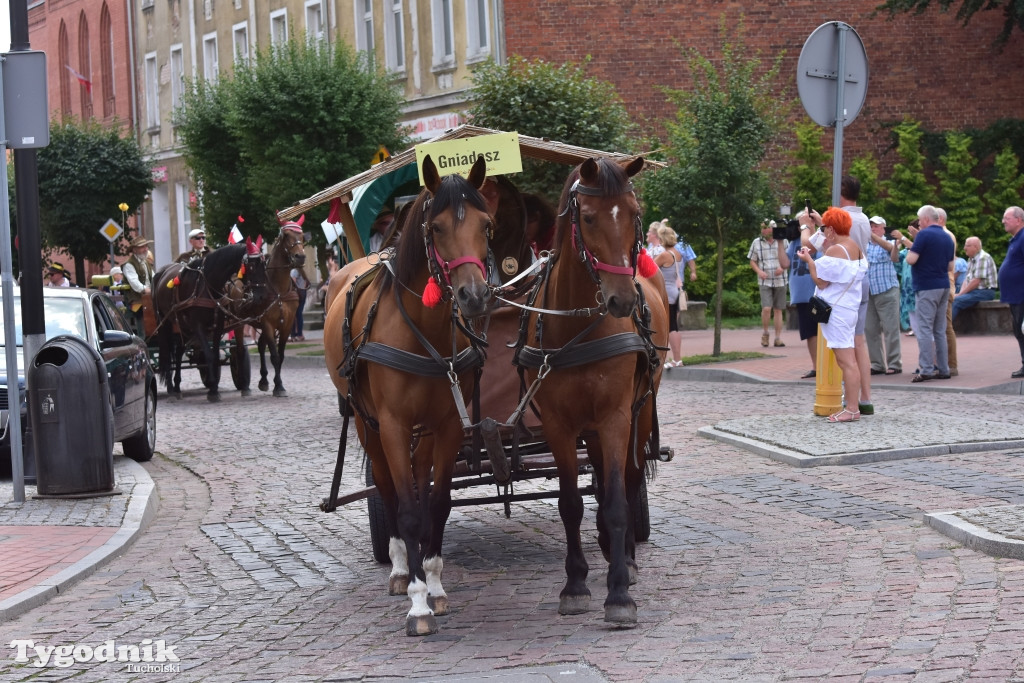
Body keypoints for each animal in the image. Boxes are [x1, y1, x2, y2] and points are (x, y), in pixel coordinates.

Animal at [253, 223, 305, 395]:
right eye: (286, 235)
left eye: (302, 235)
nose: (300, 257)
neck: (279, 291)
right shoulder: (268, 323)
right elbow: (274, 356)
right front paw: (279, 386)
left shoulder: (287, 325)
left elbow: (280, 356)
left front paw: (277, 383)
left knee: (260, 345)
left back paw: (263, 379)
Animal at [323, 154, 491, 634]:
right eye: (436, 228)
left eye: (487, 225)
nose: (474, 296)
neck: (423, 333)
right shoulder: (393, 425)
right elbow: (409, 511)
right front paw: (417, 601)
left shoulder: (447, 426)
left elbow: (436, 503)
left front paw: (434, 585)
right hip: (367, 424)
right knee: (388, 488)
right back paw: (400, 568)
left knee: (416, 481)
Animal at [516, 157, 667, 626]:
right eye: (587, 218)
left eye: (635, 214)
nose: (621, 300)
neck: (576, 326)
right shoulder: (559, 426)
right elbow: (570, 504)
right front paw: (575, 584)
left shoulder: (616, 417)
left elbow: (618, 500)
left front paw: (619, 592)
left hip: (639, 412)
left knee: (627, 480)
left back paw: (626, 558)